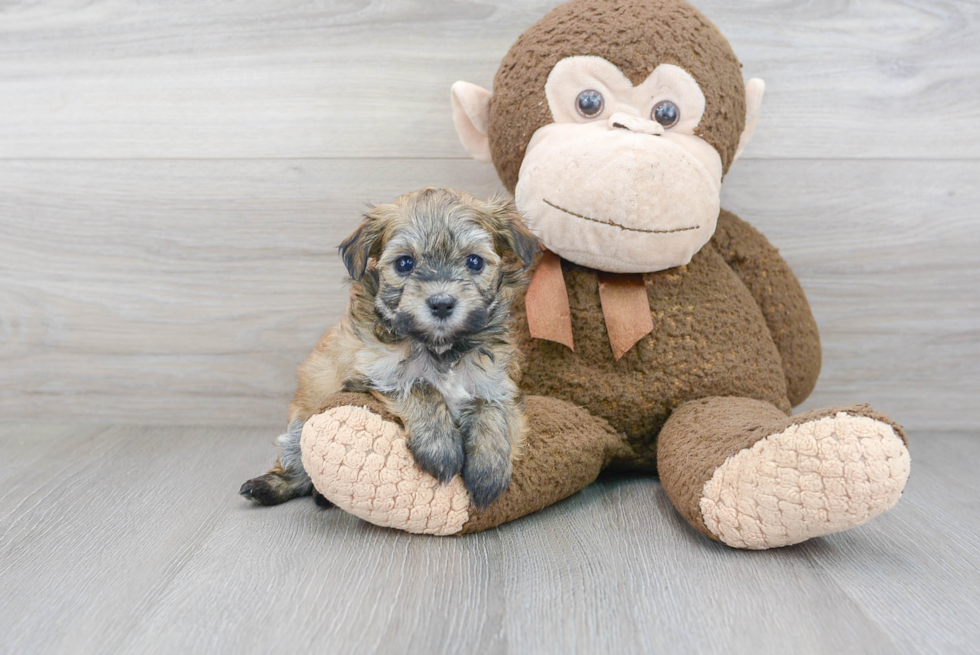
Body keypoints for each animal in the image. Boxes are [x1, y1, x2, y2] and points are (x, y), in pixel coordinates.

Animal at [242, 187, 540, 510]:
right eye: (404, 263)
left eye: (474, 262)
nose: (441, 303)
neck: (441, 349)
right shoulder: (374, 374)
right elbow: (421, 387)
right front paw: (440, 449)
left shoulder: (496, 382)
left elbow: (492, 412)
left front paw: (488, 470)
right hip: (301, 421)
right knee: (299, 466)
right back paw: (271, 486)